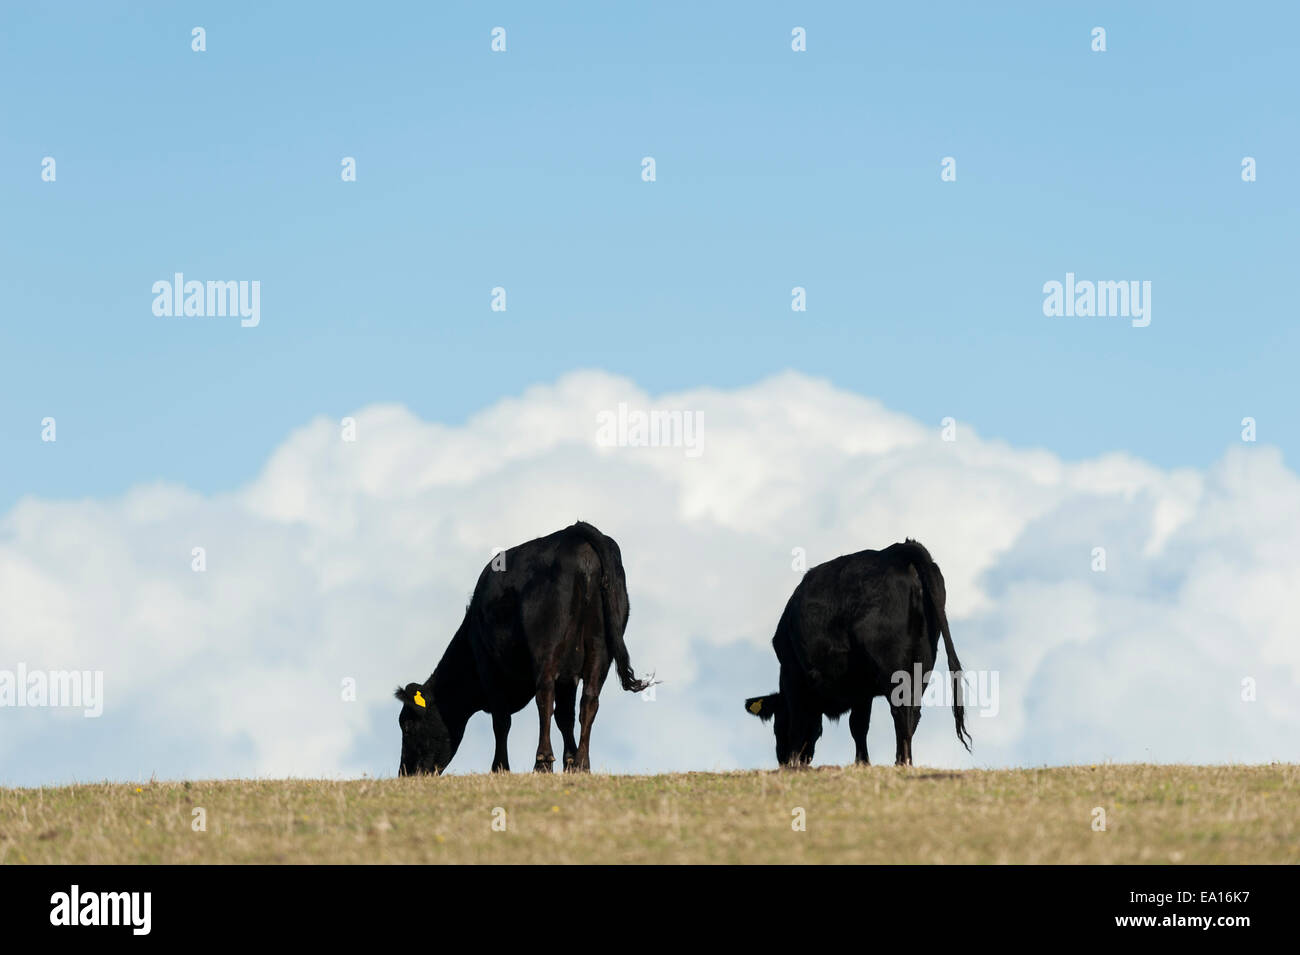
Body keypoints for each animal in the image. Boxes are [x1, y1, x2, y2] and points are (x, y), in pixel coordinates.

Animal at [395, 521, 652, 775]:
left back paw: (543, 761)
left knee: (544, 695)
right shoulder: (568, 675)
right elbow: (565, 716)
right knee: (589, 699)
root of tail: (576, 532)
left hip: (546, 647)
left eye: (407, 726)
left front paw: (499, 767)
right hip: (600, 649)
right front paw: (569, 761)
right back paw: (581, 763)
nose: (405, 773)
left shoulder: (488, 666)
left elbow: (501, 719)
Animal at [744, 539, 971, 767]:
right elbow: (859, 725)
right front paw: (862, 761)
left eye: (777, 724)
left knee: (901, 712)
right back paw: (905, 761)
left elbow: (800, 722)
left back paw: (901, 762)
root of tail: (899, 550)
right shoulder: (862, 689)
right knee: (912, 713)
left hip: (890, 664)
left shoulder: (792, 673)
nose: (781, 759)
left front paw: (794, 761)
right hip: (922, 663)